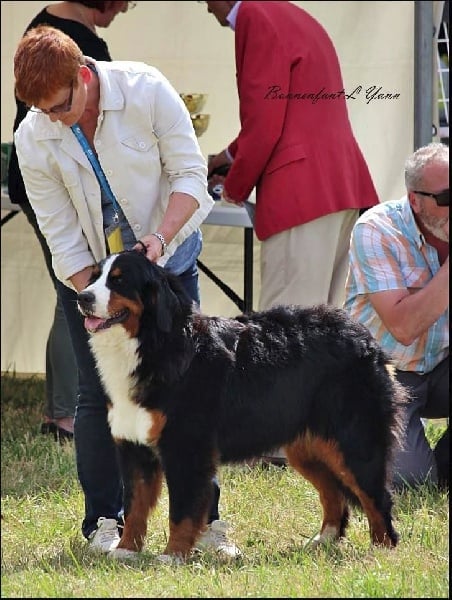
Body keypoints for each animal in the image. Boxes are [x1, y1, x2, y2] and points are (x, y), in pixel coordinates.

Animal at [77, 248, 406, 564]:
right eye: (94, 277)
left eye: (119, 280)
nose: (82, 297)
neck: (153, 344)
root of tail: (366, 338)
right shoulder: (134, 446)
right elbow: (135, 506)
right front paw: (125, 550)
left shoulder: (185, 447)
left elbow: (181, 511)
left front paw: (173, 555)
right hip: (308, 447)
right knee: (334, 494)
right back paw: (323, 541)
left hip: (355, 441)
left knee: (377, 497)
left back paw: (382, 550)